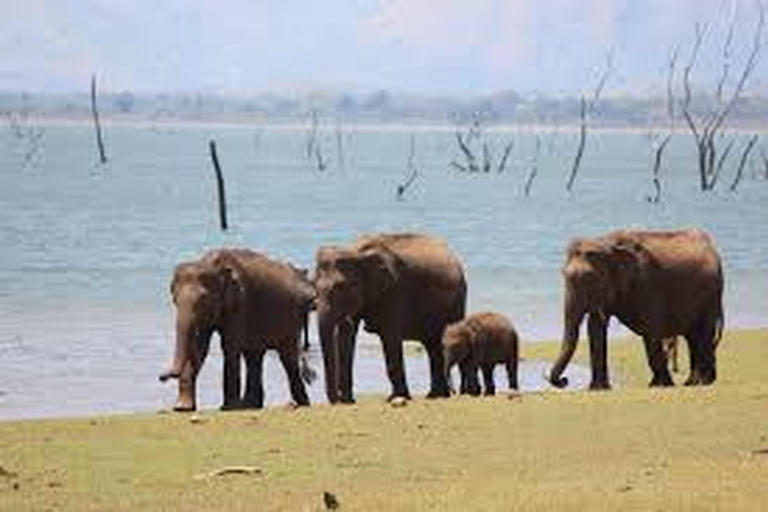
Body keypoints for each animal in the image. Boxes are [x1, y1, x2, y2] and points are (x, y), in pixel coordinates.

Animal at [159, 248, 316, 412]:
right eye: (174, 300)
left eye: (203, 300)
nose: (162, 377)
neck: (211, 264)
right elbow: (200, 347)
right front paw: (182, 408)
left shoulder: (240, 302)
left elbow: (229, 347)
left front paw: (228, 407)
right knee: (254, 356)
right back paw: (251, 405)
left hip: (293, 319)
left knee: (288, 358)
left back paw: (302, 403)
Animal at [314, 233, 468, 404]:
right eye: (313, 285)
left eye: (341, 287)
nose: (339, 400)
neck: (357, 252)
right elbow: (346, 338)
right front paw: (349, 401)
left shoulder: (394, 291)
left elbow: (390, 338)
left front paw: (396, 398)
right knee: (432, 346)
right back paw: (435, 395)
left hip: (457, 303)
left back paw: (436, 396)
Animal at [548, 228, 724, 388]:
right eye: (563, 275)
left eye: (590, 279)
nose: (564, 381)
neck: (607, 242)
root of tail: (713, 250)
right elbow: (596, 329)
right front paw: (597, 389)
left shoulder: (647, 284)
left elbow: (652, 331)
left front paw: (661, 385)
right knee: (693, 337)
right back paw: (693, 382)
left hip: (711, 296)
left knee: (703, 334)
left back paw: (701, 382)